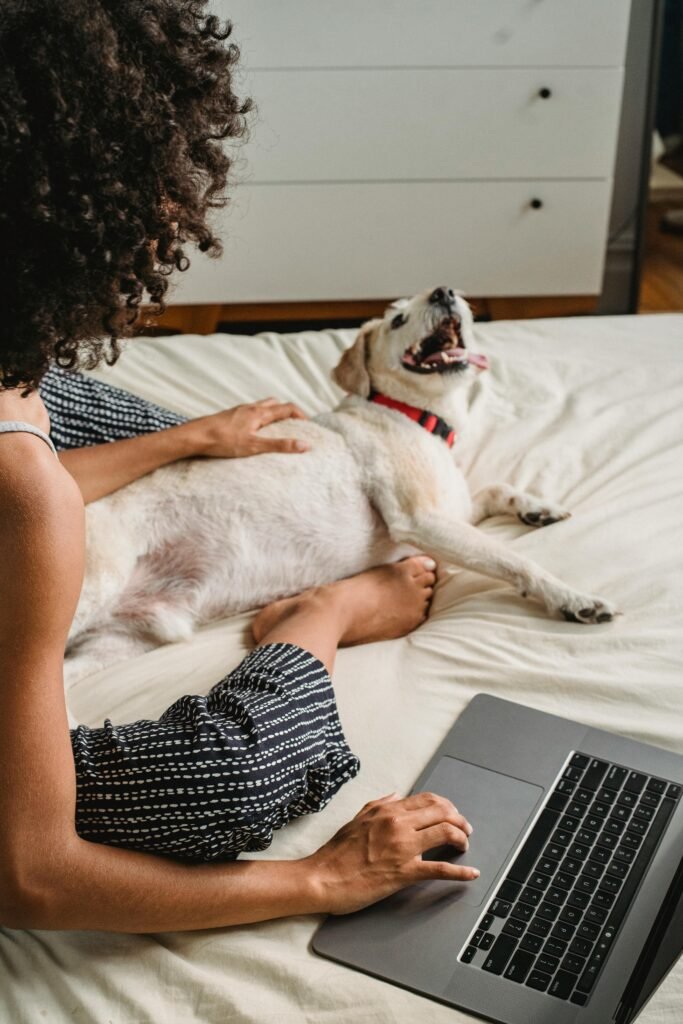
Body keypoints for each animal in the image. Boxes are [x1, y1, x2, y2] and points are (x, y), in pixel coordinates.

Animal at [65, 286, 618, 679]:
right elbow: (513, 559)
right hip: (91, 588)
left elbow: (494, 488)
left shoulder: (453, 508)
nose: (445, 291)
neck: (415, 416)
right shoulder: (422, 519)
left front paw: (537, 506)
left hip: (127, 637)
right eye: (397, 320)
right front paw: (572, 599)